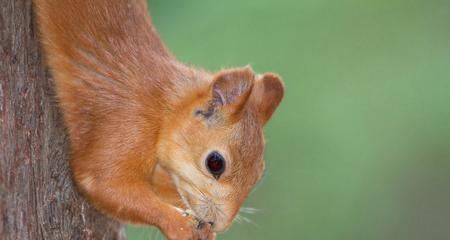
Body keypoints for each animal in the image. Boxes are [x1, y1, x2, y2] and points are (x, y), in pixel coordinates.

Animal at [35, 0, 284, 240]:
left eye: (258, 175)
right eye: (215, 163)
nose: (219, 225)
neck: (165, 107)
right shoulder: (129, 123)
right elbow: (104, 182)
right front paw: (180, 225)